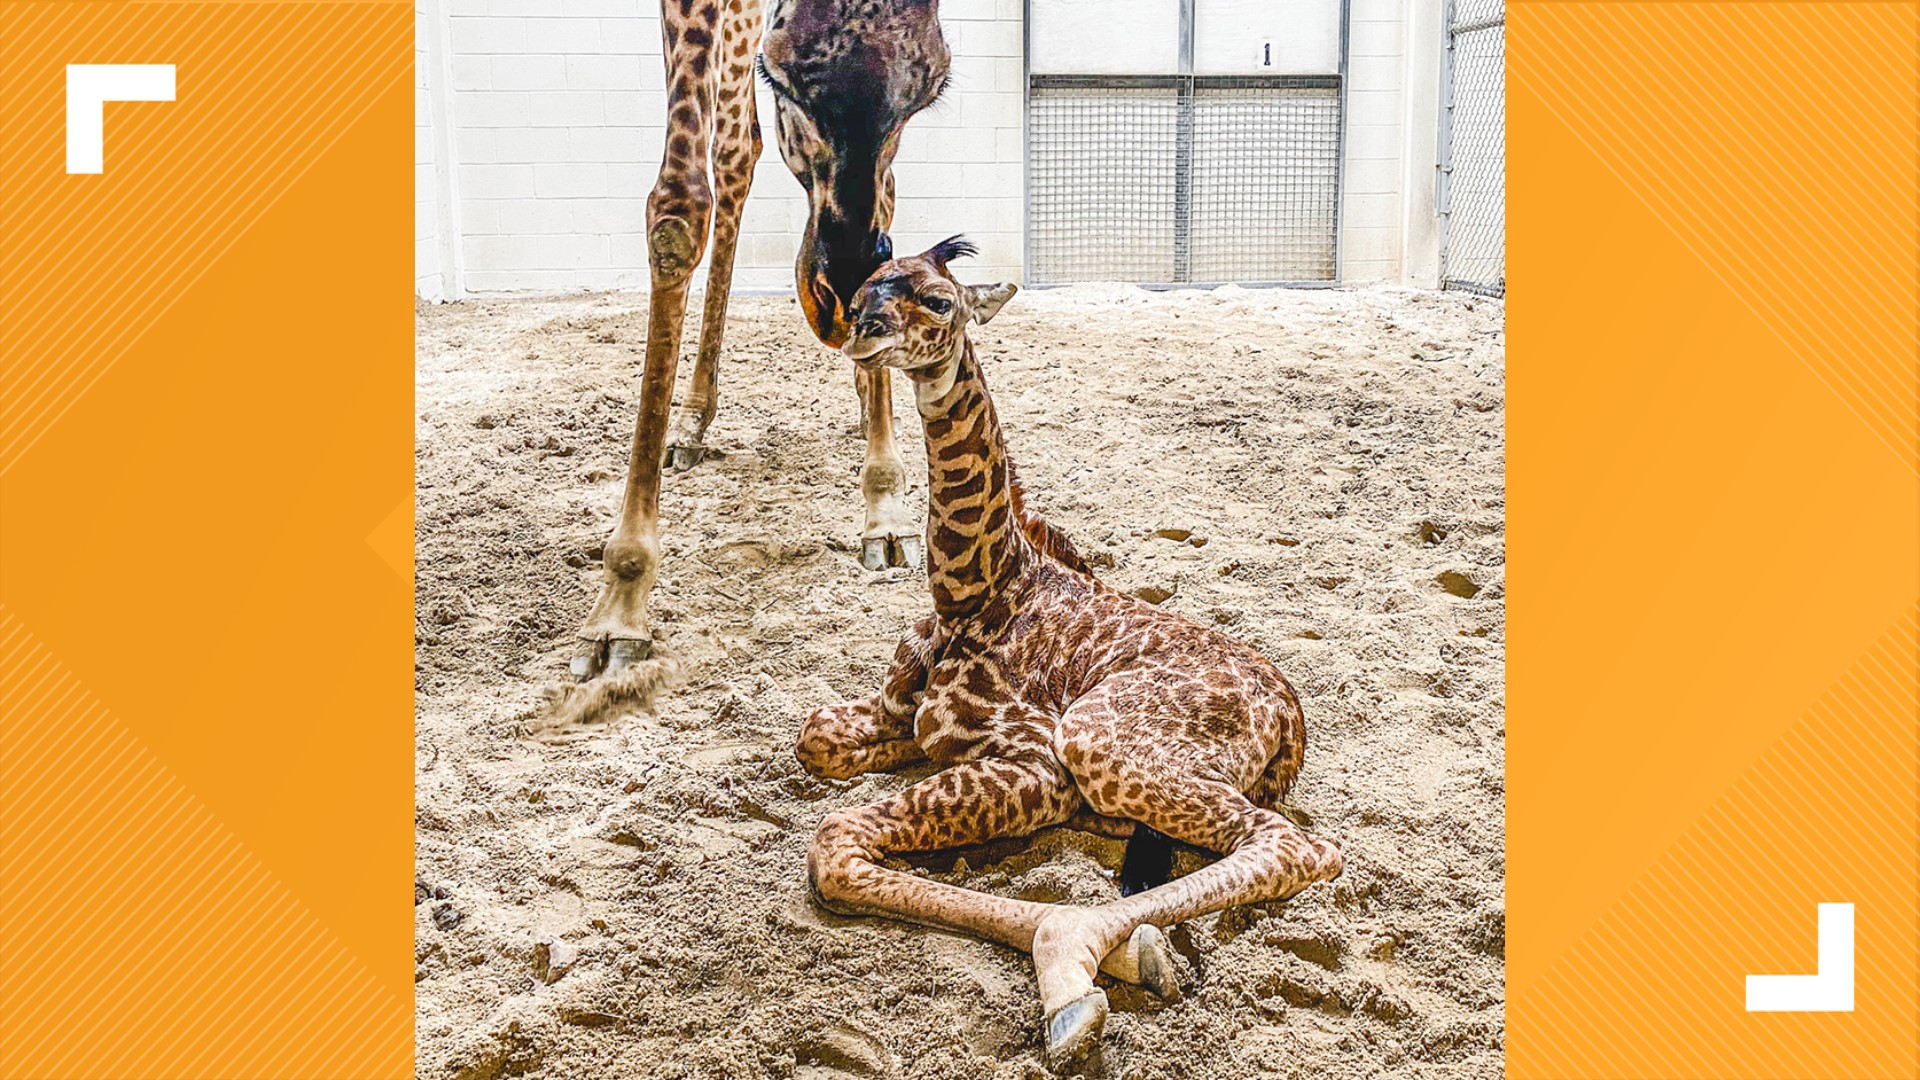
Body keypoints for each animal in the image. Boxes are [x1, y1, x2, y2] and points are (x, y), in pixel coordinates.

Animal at [572, 0, 956, 684]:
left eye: (930, 93)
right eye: (779, 81)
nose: (836, 303)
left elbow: (887, 201)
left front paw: (886, 508)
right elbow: (677, 209)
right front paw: (620, 601)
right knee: (732, 153)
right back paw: (690, 423)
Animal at [787, 237, 1344, 1060]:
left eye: (940, 301)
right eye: (861, 295)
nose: (864, 333)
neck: (976, 591)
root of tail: (1292, 722)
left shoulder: (1041, 764)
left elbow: (835, 840)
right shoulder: (896, 715)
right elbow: (817, 736)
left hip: (1099, 735)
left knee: (1296, 846)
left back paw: (1080, 962)